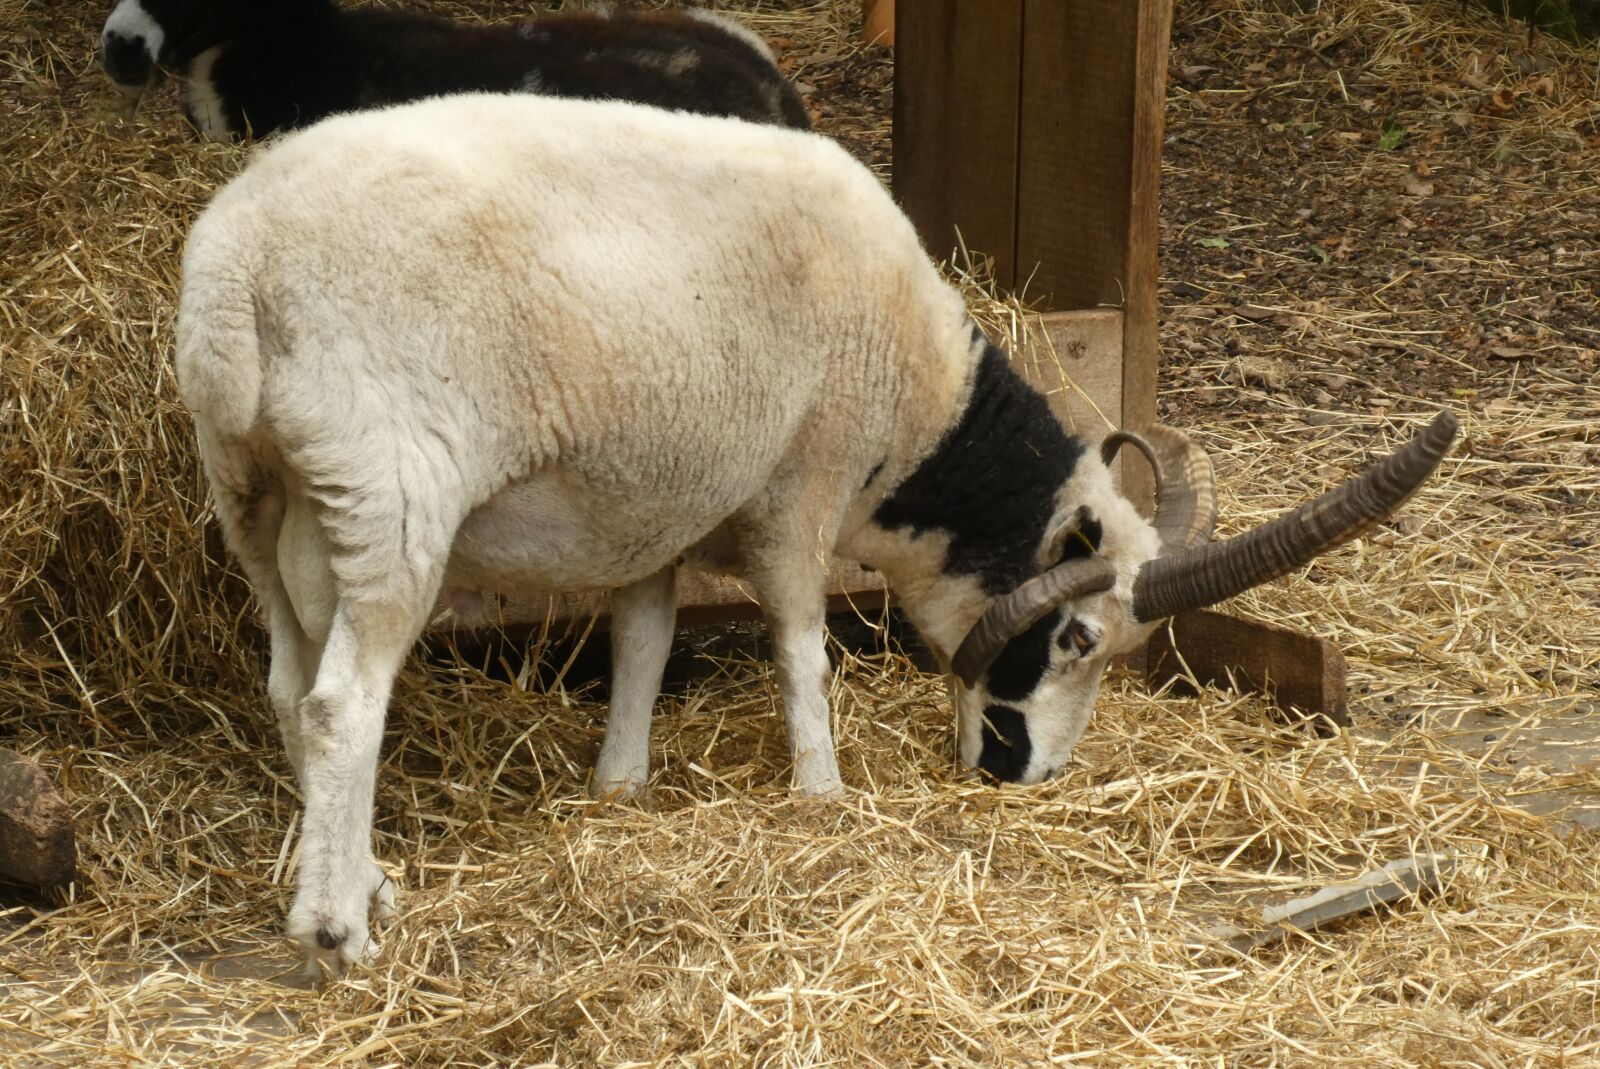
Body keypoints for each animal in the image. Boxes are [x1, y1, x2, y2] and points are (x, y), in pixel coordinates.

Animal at [175, 92, 1458, 973]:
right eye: (1078, 639)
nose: (1023, 776)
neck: (915, 409)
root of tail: (237, 273)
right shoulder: (800, 480)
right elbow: (800, 645)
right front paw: (822, 790)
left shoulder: (667, 493)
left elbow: (643, 637)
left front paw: (622, 782)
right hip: (393, 494)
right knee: (345, 705)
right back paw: (338, 930)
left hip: (268, 499)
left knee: (292, 684)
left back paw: (353, 880)